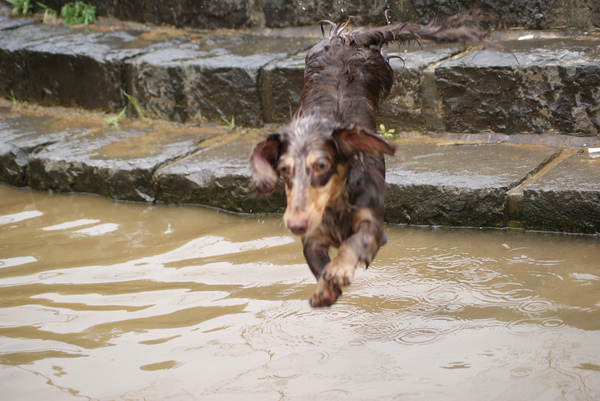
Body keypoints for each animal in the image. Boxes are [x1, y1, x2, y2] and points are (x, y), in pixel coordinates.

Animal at [248, 10, 492, 306]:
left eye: (321, 165)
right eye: (283, 170)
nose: (295, 223)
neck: (334, 203)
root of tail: (346, 39)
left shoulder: (372, 226)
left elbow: (354, 243)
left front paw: (339, 269)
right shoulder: (313, 236)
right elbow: (317, 261)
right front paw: (325, 289)